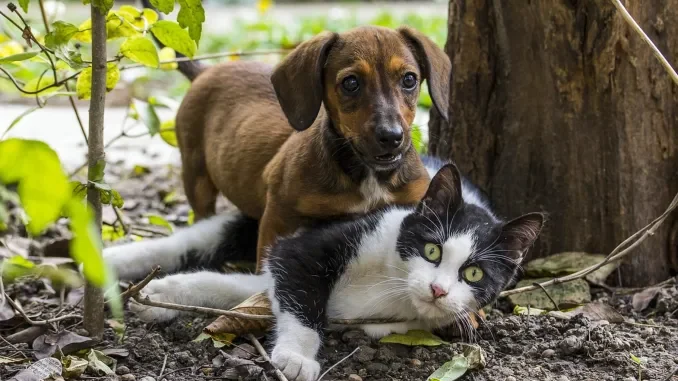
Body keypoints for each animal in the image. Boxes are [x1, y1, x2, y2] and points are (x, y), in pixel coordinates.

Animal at [102, 157, 548, 380]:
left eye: (474, 274)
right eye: (432, 250)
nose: (438, 290)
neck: (393, 282)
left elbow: (248, 287)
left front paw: (163, 294)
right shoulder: (312, 245)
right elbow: (299, 290)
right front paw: (296, 357)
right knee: (198, 238)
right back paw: (109, 261)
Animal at [175, 26, 452, 270]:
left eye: (409, 79)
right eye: (351, 83)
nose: (391, 137)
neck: (368, 175)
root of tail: (204, 71)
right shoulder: (278, 215)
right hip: (196, 177)